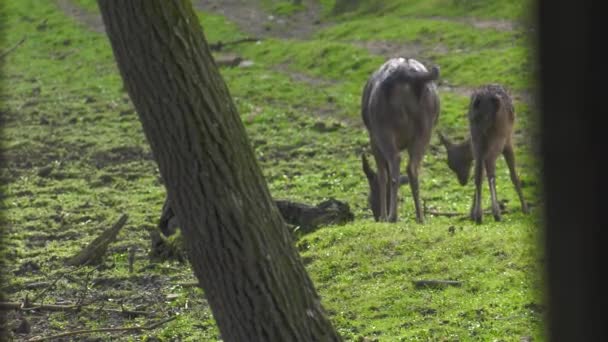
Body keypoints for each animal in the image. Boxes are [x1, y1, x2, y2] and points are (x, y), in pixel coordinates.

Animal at [360, 57, 442, 223]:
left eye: (370, 195)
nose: (376, 215)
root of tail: (407, 76)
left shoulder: (373, 137)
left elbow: (382, 175)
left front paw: (384, 216)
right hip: (426, 126)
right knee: (413, 167)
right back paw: (420, 217)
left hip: (382, 126)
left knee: (395, 161)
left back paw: (392, 216)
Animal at [440, 85, 528, 224]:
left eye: (451, 164)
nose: (462, 182)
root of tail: (483, 101)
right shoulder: (508, 141)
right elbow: (514, 175)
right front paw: (525, 209)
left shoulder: (480, 150)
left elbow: (480, 173)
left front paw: (472, 214)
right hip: (499, 135)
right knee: (490, 168)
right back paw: (496, 213)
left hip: (476, 132)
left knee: (478, 173)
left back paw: (479, 216)